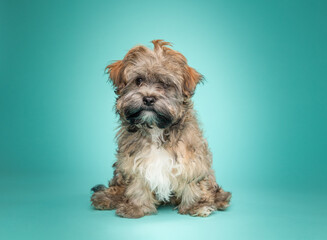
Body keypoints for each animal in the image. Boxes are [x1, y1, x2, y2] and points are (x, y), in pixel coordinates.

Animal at [91, 39, 232, 218]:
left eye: (165, 84)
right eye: (138, 81)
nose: (148, 99)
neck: (155, 129)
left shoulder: (191, 157)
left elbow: (192, 180)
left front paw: (196, 205)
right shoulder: (133, 162)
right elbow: (137, 184)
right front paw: (137, 207)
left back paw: (219, 198)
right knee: (118, 185)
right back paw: (106, 197)